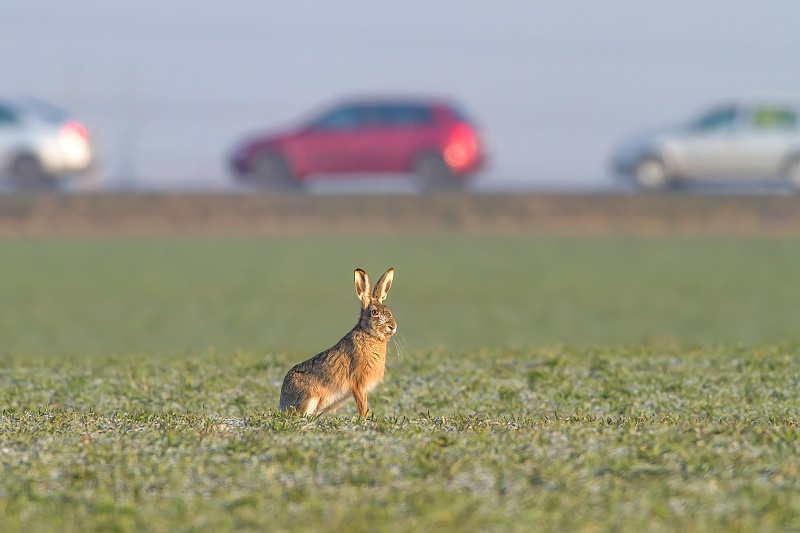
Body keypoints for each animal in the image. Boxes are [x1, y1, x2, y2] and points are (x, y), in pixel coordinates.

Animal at [280, 268, 397, 417]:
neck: (369, 334)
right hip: (310, 398)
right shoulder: (358, 384)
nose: (392, 327)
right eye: (374, 312)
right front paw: (364, 418)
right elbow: (362, 406)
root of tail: (282, 402)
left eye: (389, 311)